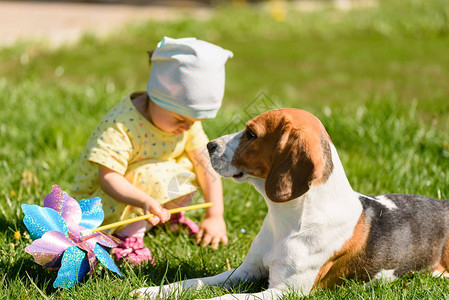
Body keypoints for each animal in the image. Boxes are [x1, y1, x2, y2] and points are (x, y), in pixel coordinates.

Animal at [133, 109, 448, 298]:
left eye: (251, 134)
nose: (209, 145)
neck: (287, 220)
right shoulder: (245, 271)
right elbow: (195, 282)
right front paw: (152, 291)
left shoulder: (284, 291)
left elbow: (226, 297)